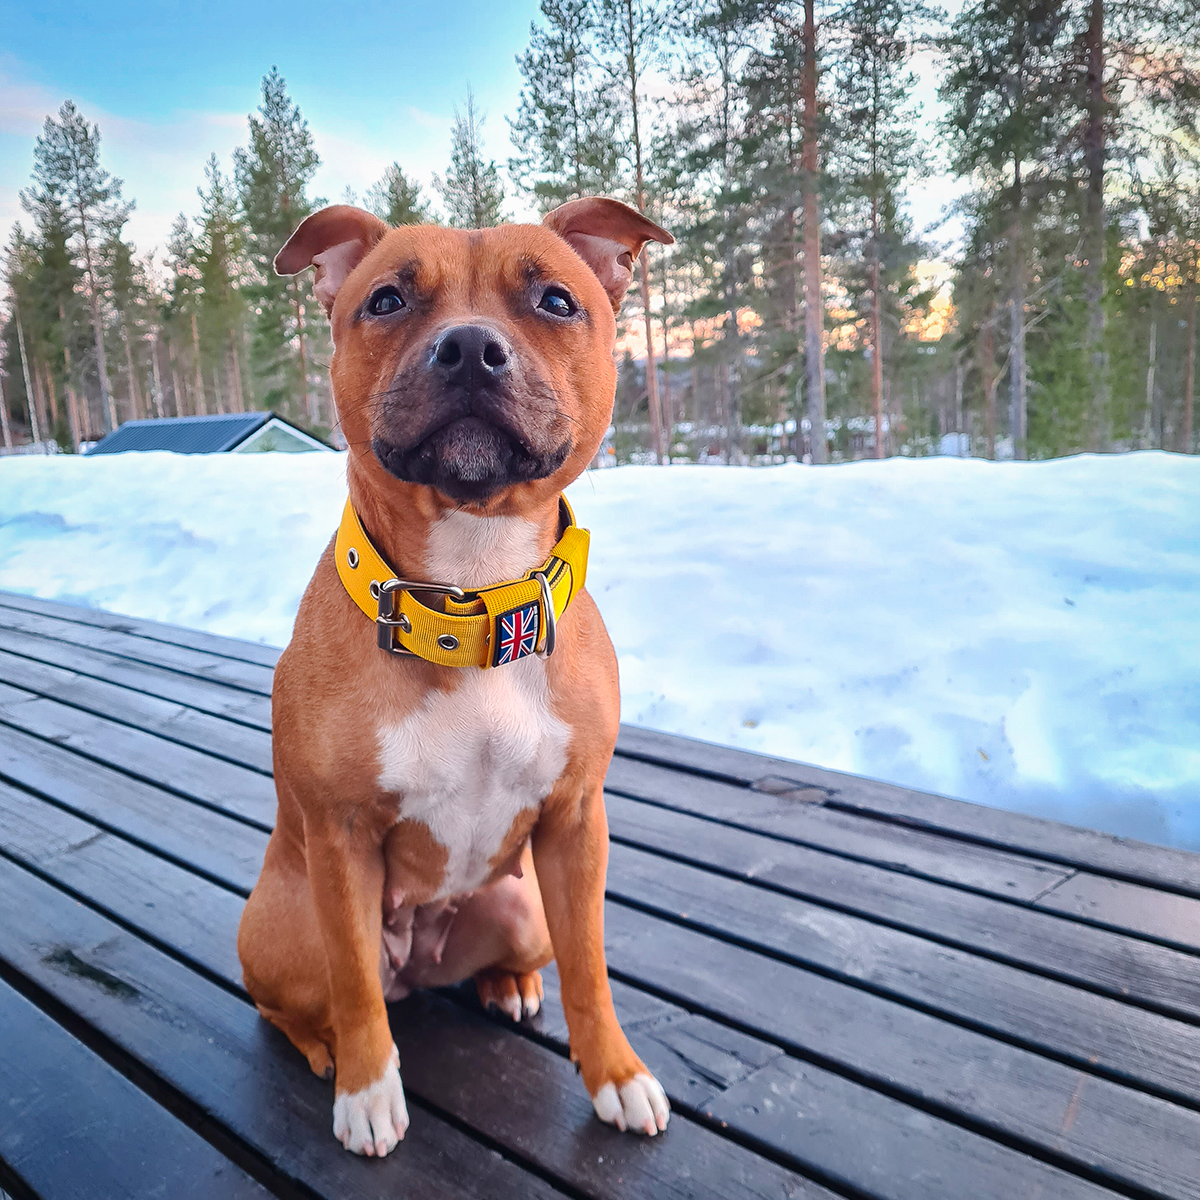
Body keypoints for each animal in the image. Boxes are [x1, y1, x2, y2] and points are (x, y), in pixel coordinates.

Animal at [236, 194, 676, 1152]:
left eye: (556, 301)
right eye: (387, 300)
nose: (470, 347)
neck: (473, 598)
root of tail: (424, 961)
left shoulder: (576, 824)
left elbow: (593, 967)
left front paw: (616, 1074)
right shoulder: (340, 839)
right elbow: (355, 982)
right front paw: (367, 1090)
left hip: (523, 908)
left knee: (515, 958)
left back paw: (507, 985)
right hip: (282, 929)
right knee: (310, 999)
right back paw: (325, 1050)